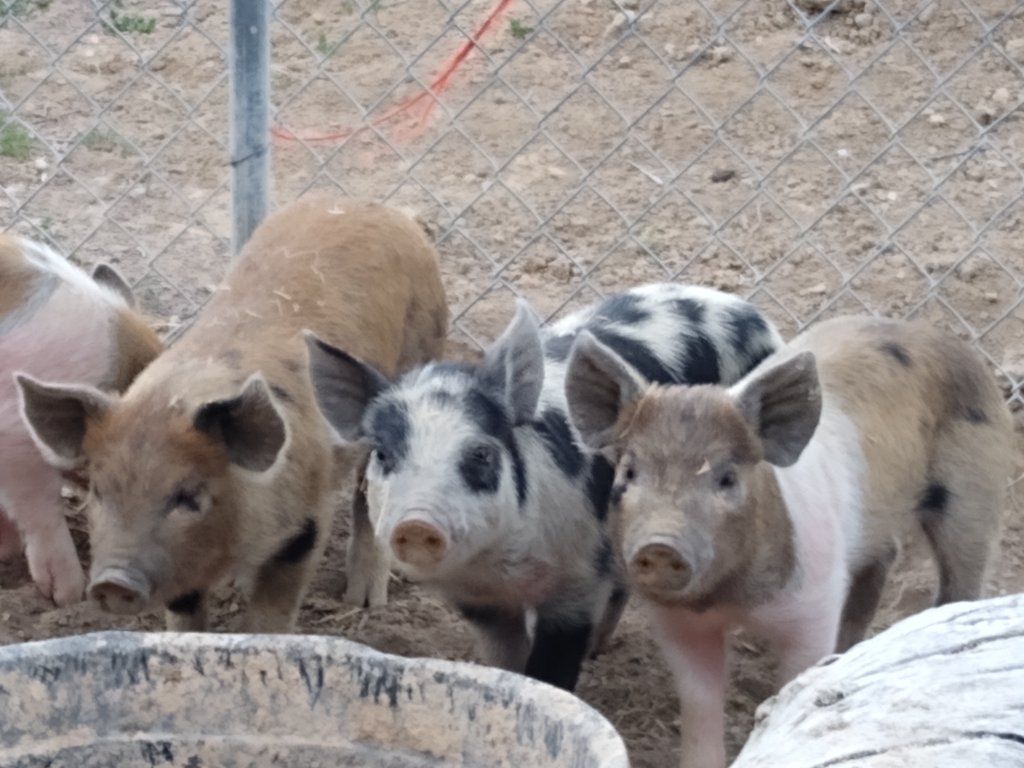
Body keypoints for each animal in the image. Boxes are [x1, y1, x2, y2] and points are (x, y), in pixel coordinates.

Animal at [306, 283, 782, 690]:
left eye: (481, 454)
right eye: (383, 454)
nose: (416, 524)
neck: (504, 568)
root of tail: (745, 309)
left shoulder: (579, 579)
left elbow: (552, 668)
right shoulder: (478, 601)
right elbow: (507, 660)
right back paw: (599, 649)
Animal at [564, 315, 1012, 768]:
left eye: (727, 478)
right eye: (629, 473)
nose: (659, 545)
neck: (732, 599)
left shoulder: (815, 602)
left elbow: (796, 683)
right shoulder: (679, 623)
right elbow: (701, 703)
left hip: (975, 493)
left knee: (962, 577)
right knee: (884, 558)